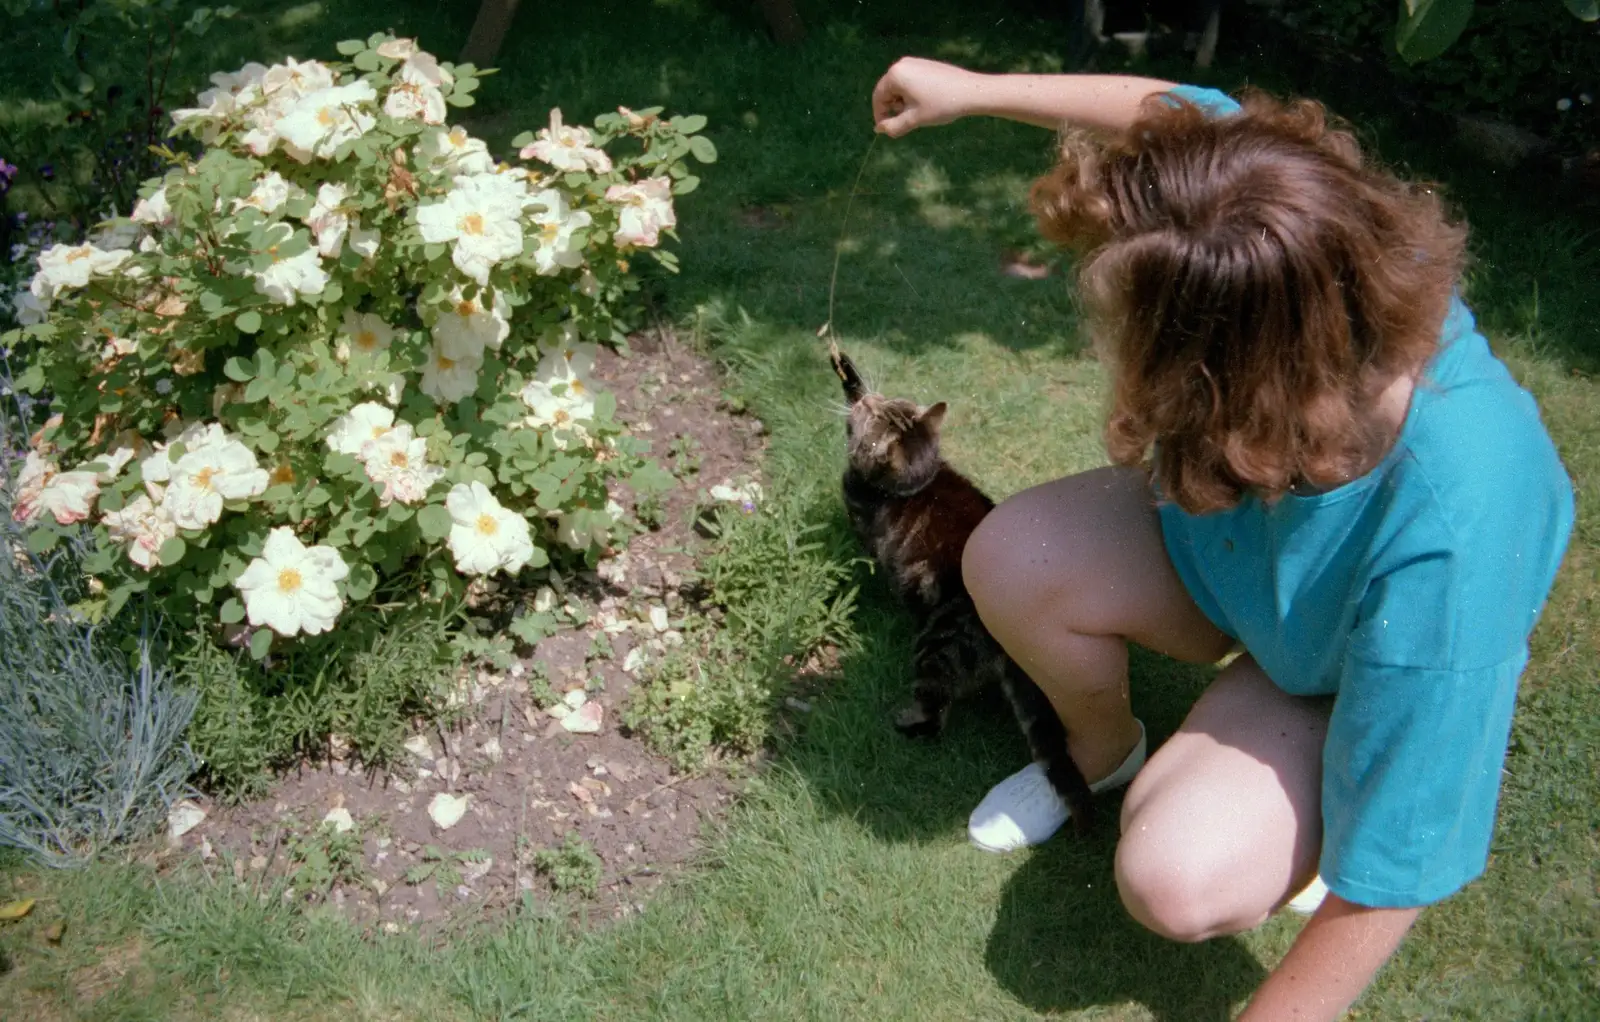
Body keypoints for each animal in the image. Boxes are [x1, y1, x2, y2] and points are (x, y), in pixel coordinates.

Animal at [825, 348, 1100, 838]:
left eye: (876, 413)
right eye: (885, 402)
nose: (868, 397)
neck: (919, 480)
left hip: (932, 648)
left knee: (936, 713)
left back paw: (906, 721)